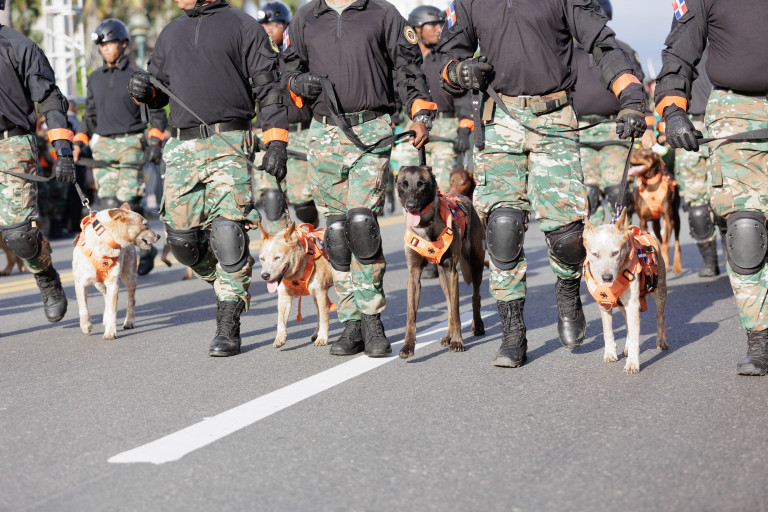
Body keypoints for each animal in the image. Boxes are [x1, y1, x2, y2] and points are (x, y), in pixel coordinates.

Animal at [72, 204, 159, 339]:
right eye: (145, 224)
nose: (159, 236)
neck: (105, 243)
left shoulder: (113, 283)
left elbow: (113, 310)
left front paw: (110, 331)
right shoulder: (80, 283)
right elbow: (83, 307)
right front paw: (86, 325)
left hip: (130, 276)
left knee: (131, 300)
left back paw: (129, 321)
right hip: (100, 284)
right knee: (106, 297)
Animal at [396, 165, 486, 359]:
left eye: (421, 184)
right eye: (403, 184)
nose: (411, 205)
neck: (425, 225)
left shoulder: (452, 270)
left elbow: (457, 311)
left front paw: (458, 341)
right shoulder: (414, 276)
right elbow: (411, 316)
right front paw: (408, 346)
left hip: (475, 265)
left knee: (474, 296)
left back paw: (477, 325)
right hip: (443, 277)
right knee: (449, 304)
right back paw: (448, 336)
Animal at [583, 209, 669, 373]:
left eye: (615, 253)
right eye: (595, 254)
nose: (607, 278)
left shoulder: (633, 304)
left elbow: (635, 337)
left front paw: (632, 364)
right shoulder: (605, 305)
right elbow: (608, 332)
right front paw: (610, 353)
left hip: (659, 290)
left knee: (660, 316)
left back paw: (661, 340)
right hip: (623, 305)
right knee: (628, 325)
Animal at [628, 146, 682, 275]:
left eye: (642, 152)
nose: (628, 154)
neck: (651, 184)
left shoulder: (668, 218)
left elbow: (666, 244)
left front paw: (666, 263)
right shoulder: (643, 220)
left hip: (675, 218)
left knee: (676, 242)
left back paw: (677, 266)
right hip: (655, 222)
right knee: (659, 238)